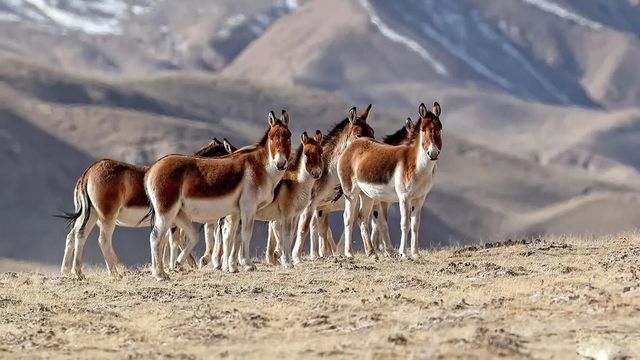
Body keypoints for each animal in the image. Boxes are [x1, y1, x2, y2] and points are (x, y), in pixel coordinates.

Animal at [60, 138, 232, 278]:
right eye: (226, 151)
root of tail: (88, 172)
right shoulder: (172, 222)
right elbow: (172, 242)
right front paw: (175, 267)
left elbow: (164, 243)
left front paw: (169, 267)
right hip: (107, 217)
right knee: (103, 240)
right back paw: (117, 271)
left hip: (91, 215)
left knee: (77, 235)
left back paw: (74, 272)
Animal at [146, 111, 292, 280]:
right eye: (271, 137)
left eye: (288, 136)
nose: (280, 164)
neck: (259, 166)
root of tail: (153, 168)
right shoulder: (248, 207)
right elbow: (245, 234)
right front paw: (248, 264)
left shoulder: (236, 212)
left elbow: (233, 236)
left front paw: (232, 267)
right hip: (166, 211)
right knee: (156, 237)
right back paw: (160, 274)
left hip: (177, 213)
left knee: (181, 236)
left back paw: (167, 268)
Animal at [338, 102, 442, 258]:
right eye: (423, 130)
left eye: (440, 128)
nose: (433, 153)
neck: (417, 165)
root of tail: (352, 146)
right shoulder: (404, 198)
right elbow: (404, 224)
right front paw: (403, 253)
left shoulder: (419, 198)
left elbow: (415, 225)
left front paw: (416, 253)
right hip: (350, 193)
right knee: (348, 218)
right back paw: (349, 253)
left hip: (367, 195)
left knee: (362, 217)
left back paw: (372, 253)